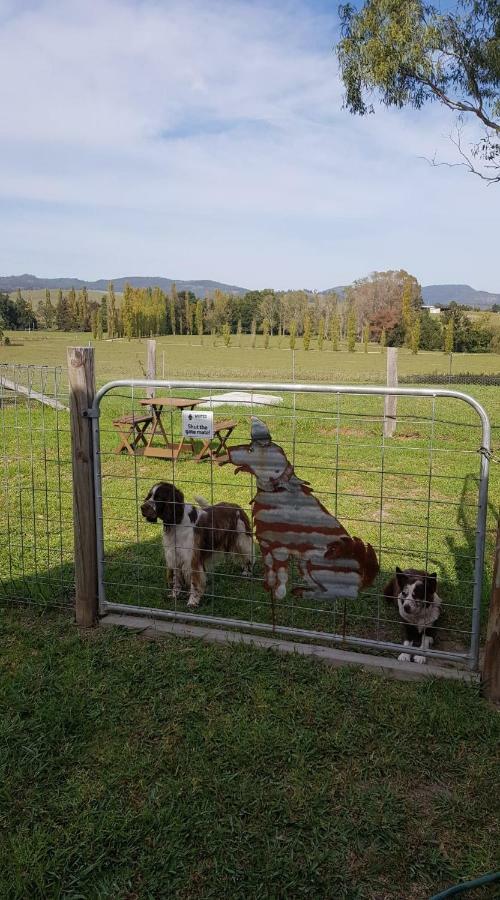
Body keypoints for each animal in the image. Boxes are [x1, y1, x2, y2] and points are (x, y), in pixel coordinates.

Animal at [228, 418, 378, 600]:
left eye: (250, 450)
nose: (227, 449)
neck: (277, 489)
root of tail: (360, 581)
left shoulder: (279, 548)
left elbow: (281, 574)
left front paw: (279, 594)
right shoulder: (266, 545)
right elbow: (269, 571)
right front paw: (269, 589)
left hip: (314, 562)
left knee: (338, 593)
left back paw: (308, 594)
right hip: (304, 563)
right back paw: (303, 591)